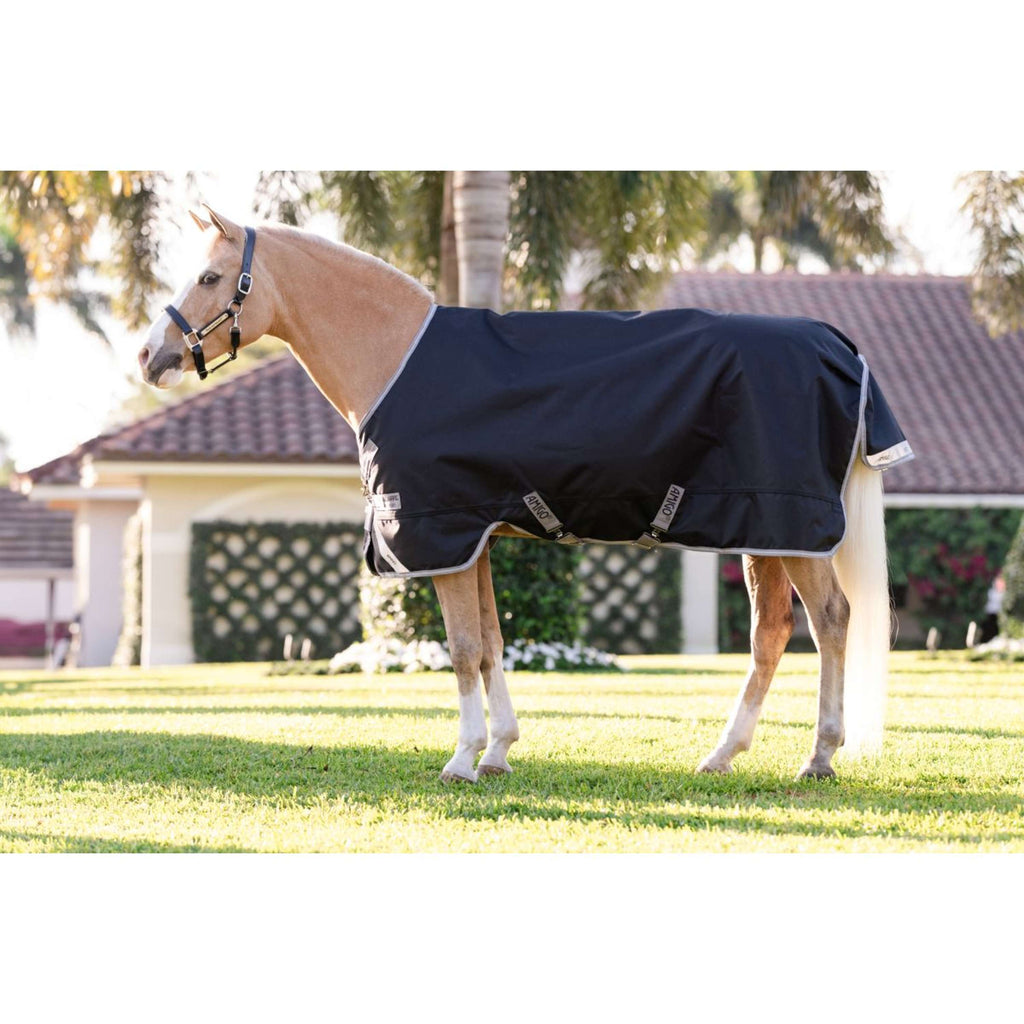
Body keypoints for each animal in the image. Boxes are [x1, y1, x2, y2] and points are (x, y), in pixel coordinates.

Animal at [140, 206, 904, 782]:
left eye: (210, 276)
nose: (150, 358)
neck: (395, 356)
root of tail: (838, 345)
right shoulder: (472, 538)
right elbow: (492, 643)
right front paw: (499, 751)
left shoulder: (441, 536)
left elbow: (461, 649)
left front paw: (461, 759)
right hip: (763, 529)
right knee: (769, 634)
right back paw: (722, 755)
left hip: (794, 529)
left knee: (830, 621)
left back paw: (818, 758)